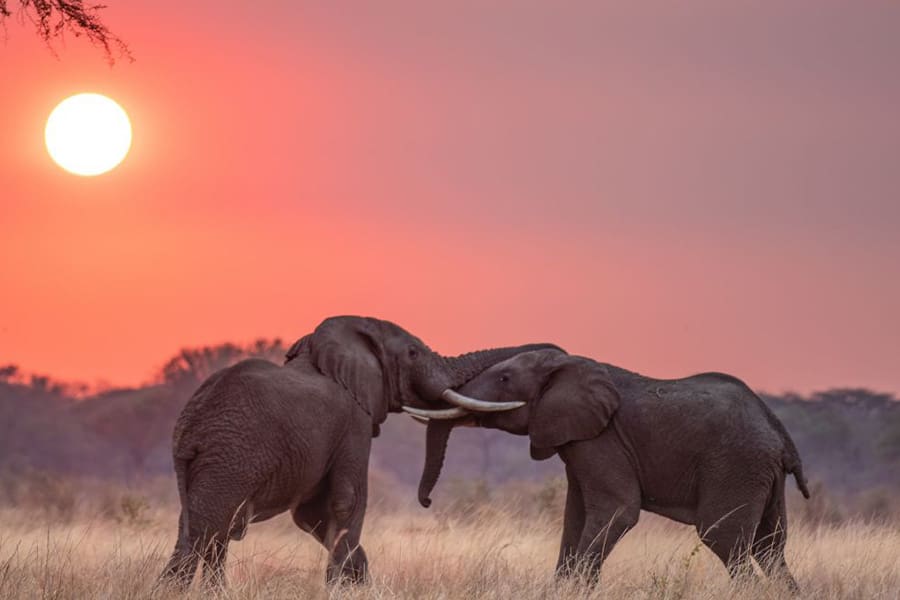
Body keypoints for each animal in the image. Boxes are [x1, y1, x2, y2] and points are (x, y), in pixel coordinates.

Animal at [159, 316, 558, 588]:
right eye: (413, 352)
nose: (556, 352)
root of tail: (188, 428)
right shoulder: (354, 420)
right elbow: (347, 500)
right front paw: (343, 586)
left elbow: (312, 514)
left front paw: (359, 583)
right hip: (232, 458)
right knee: (208, 531)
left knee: (202, 530)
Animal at [410, 348, 810, 590]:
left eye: (505, 379)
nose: (426, 503)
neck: (569, 366)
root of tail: (779, 432)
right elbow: (575, 516)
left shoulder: (603, 440)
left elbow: (616, 511)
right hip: (761, 474)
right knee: (770, 548)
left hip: (737, 466)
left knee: (727, 540)